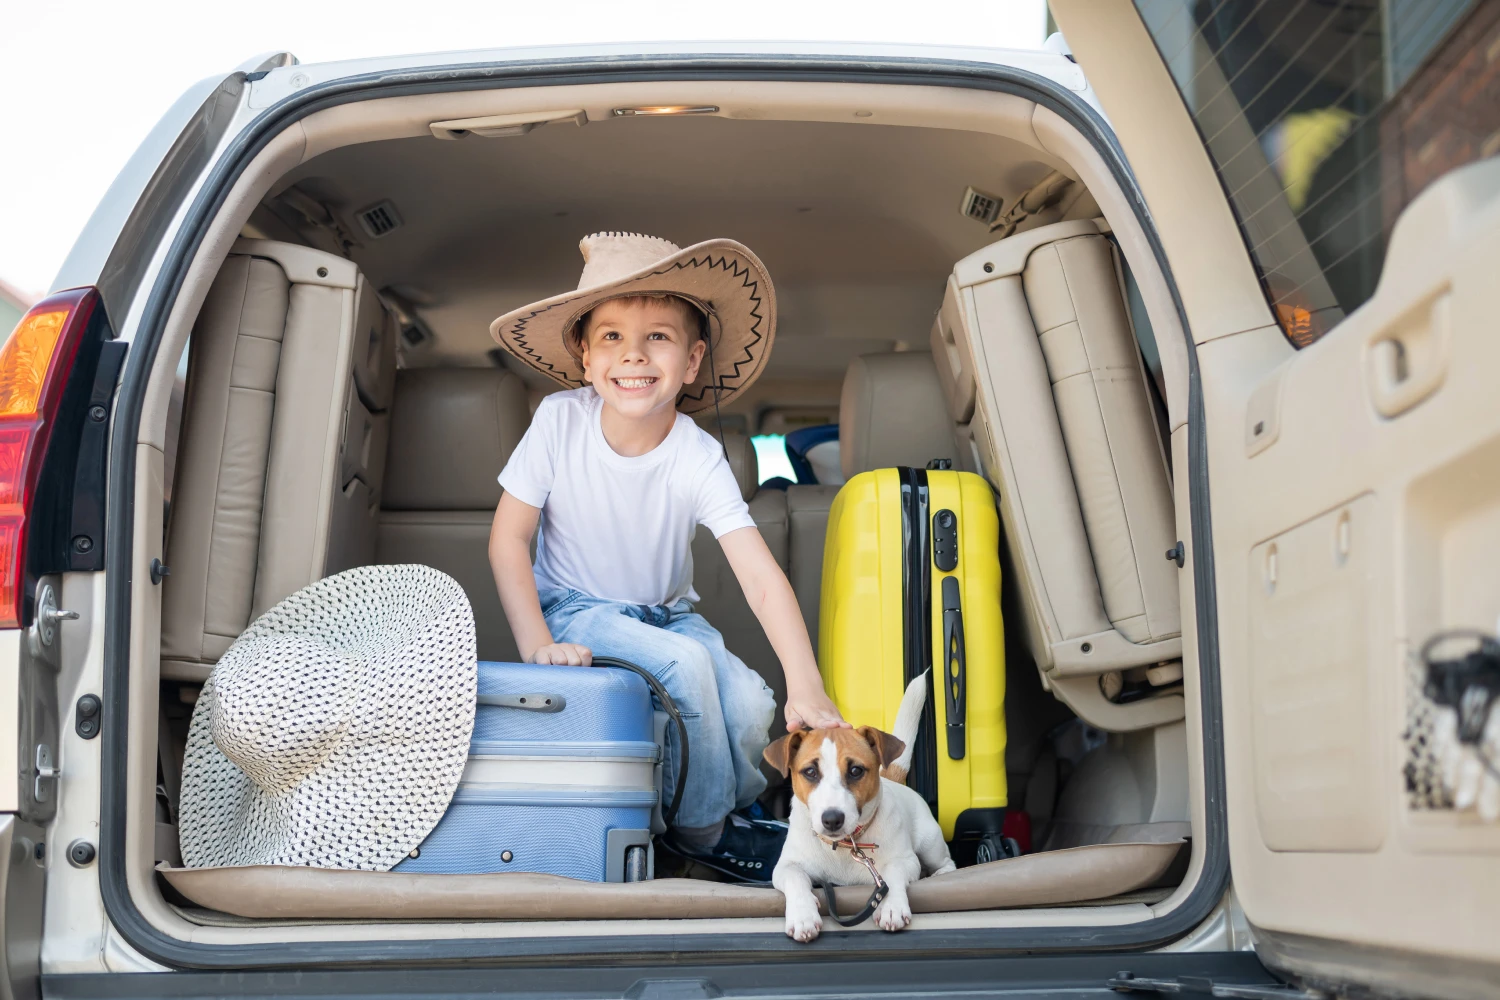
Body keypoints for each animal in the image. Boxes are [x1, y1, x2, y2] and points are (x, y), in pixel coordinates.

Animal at [768, 671, 954, 947]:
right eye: (810, 772)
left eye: (856, 770)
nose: (831, 819)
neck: (846, 846)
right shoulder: (785, 866)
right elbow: (795, 878)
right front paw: (802, 914)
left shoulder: (906, 860)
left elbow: (893, 873)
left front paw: (890, 906)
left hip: (930, 844)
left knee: (947, 862)